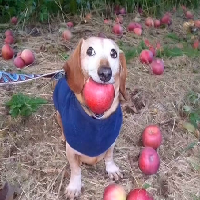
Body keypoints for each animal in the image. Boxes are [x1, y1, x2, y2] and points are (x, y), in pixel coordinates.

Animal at [52, 36, 126, 198]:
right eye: (90, 51)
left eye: (114, 53)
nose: (105, 73)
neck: (97, 118)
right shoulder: (72, 151)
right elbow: (75, 170)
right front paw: (74, 186)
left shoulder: (111, 141)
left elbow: (109, 156)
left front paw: (111, 169)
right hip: (58, 114)